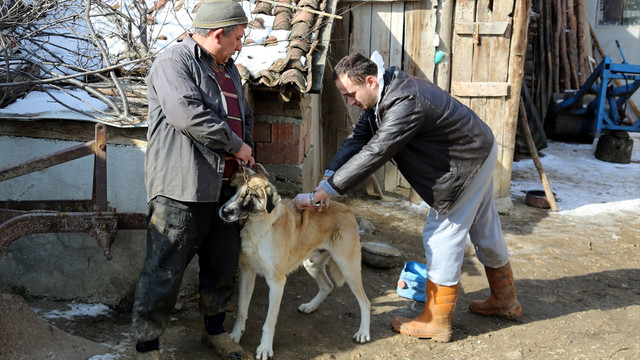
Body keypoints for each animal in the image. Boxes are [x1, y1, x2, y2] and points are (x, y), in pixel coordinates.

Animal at [220, 166, 370, 360]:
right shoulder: (247, 272)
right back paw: (310, 306)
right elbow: (241, 310)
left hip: (348, 268)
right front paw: (235, 335)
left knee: (365, 302)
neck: (258, 225)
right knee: (327, 286)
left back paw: (363, 333)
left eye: (250, 195)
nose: (225, 211)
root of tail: (348, 209)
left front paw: (265, 348)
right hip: (311, 264)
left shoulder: (277, 282)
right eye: (231, 189)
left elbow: (269, 321)